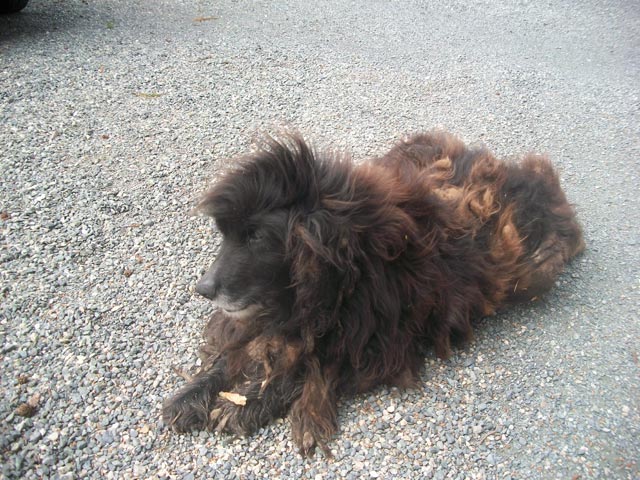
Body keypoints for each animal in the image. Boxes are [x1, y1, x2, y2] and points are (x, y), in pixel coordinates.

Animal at [161, 129, 584, 456]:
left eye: (256, 237)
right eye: (225, 234)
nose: (202, 289)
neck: (347, 265)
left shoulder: (378, 345)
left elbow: (309, 367)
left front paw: (247, 402)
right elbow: (232, 354)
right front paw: (192, 394)